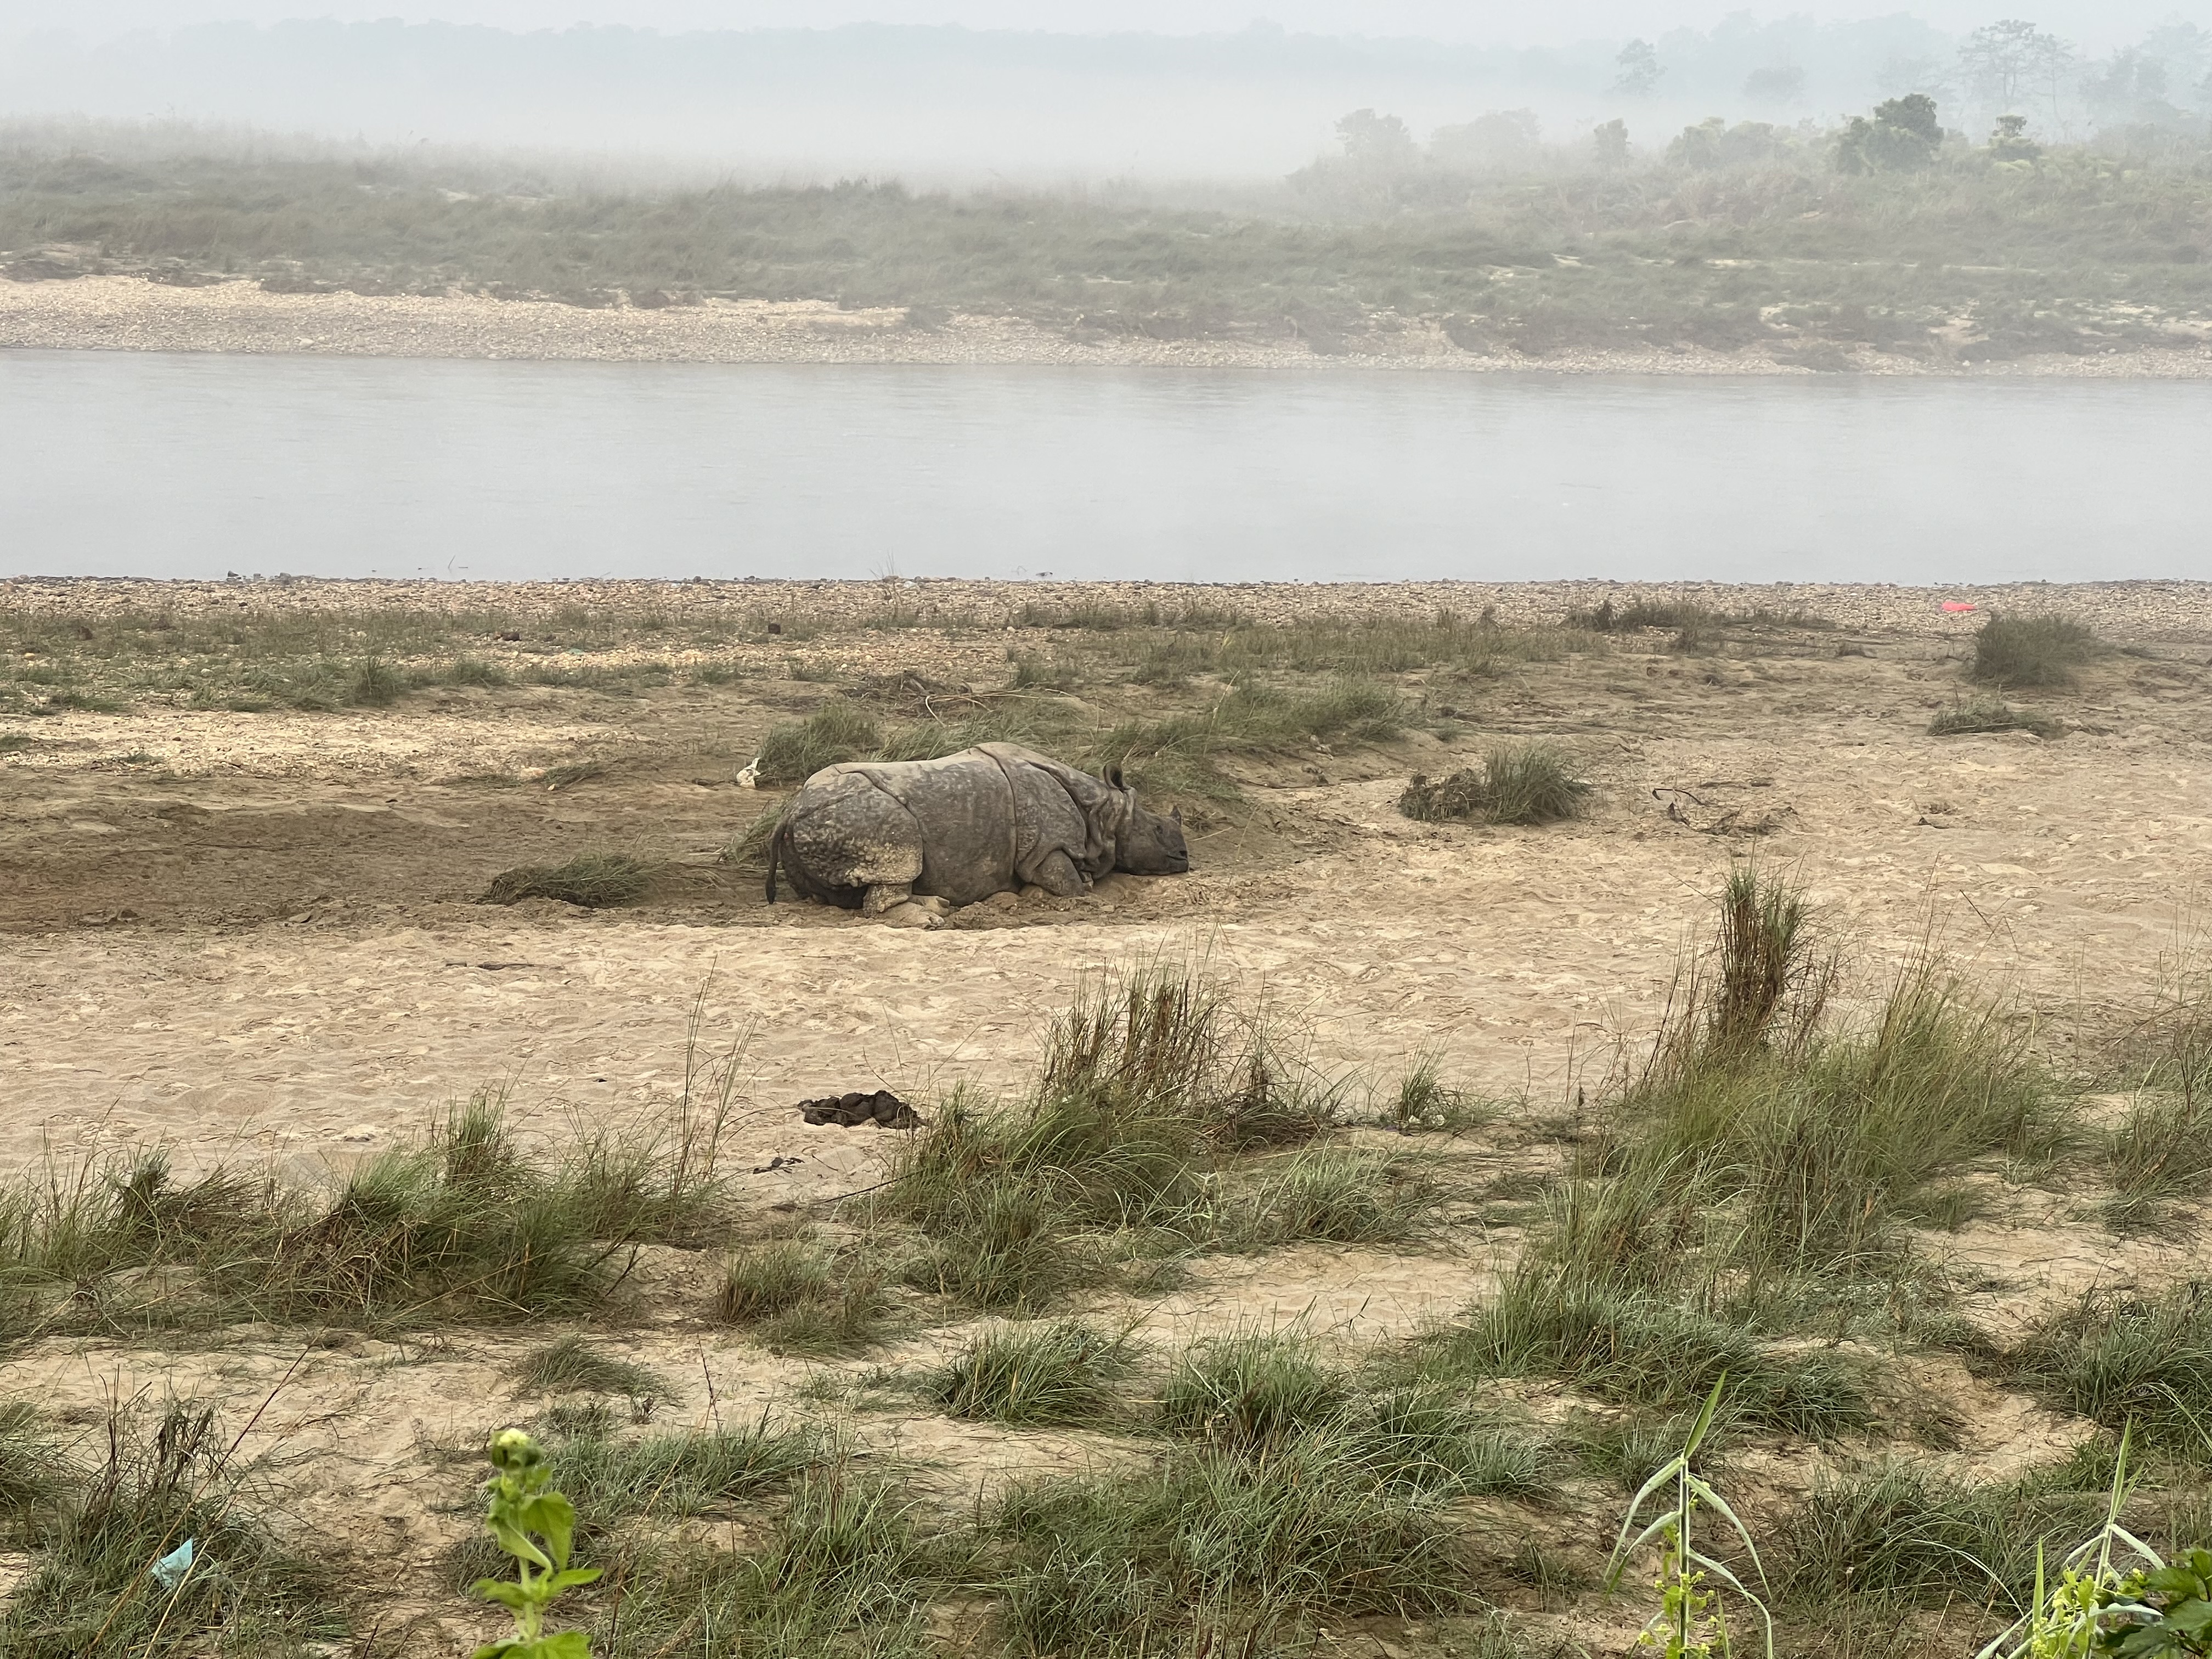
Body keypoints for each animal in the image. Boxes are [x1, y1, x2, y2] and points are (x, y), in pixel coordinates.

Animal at [765, 743, 1186, 924]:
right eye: (1157, 829)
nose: (1185, 858)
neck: (1102, 811)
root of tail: (791, 810)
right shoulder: (1045, 847)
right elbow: (1072, 886)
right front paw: (1046, 892)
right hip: (857, 812)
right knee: (900, 851)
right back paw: (930, 920)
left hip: (821, 821)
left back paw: (938, 906)